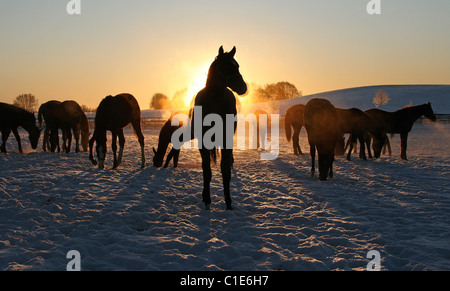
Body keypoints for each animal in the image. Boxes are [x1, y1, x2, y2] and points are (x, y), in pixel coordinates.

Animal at [191, 46, 248, 210]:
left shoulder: (226, 142)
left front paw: (228, 202)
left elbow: (225, 171)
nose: (243, 87)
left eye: (237, 66)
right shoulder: (203, 143)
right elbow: (207, 171)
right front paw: (207, 199)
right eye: (227, 66)